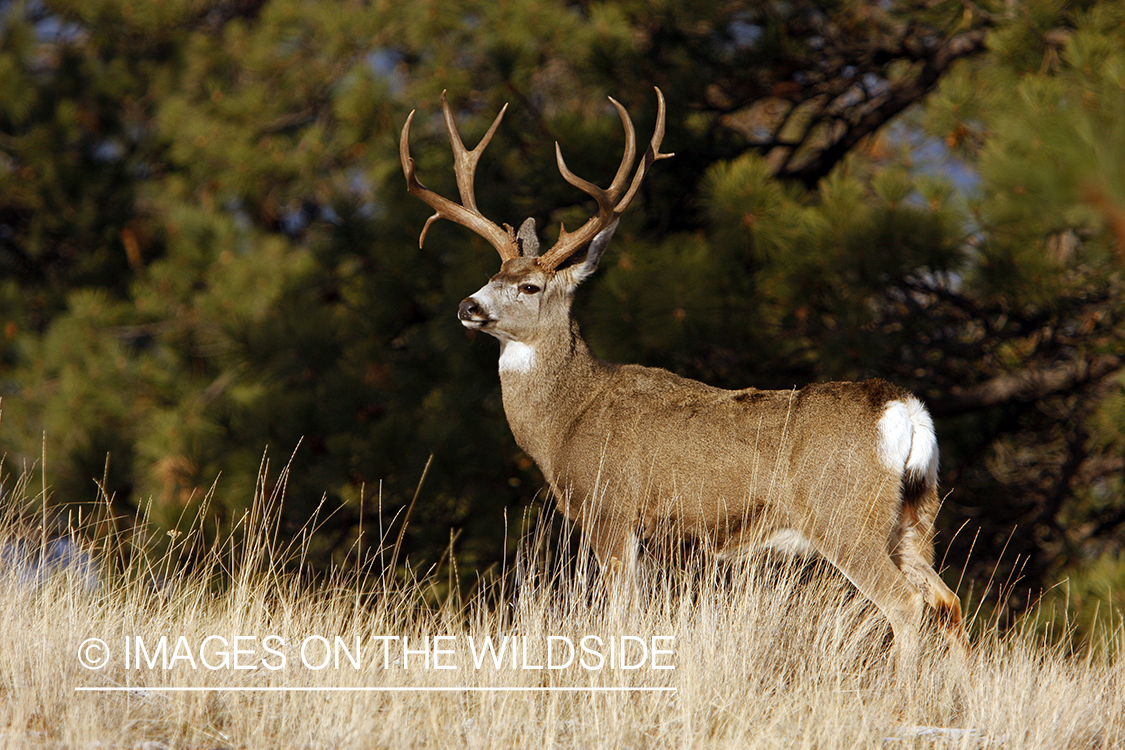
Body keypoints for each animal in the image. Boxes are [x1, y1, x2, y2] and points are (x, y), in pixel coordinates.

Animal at [399, 88, 967, 665]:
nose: (468, 306)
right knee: (949, 602)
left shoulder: (611, 510)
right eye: (493, 275)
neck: (565, 423)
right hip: (915, 514)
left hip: (845, 514)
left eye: (530, 286)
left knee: (907, 605)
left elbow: (620, 616)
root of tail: (903, 410)